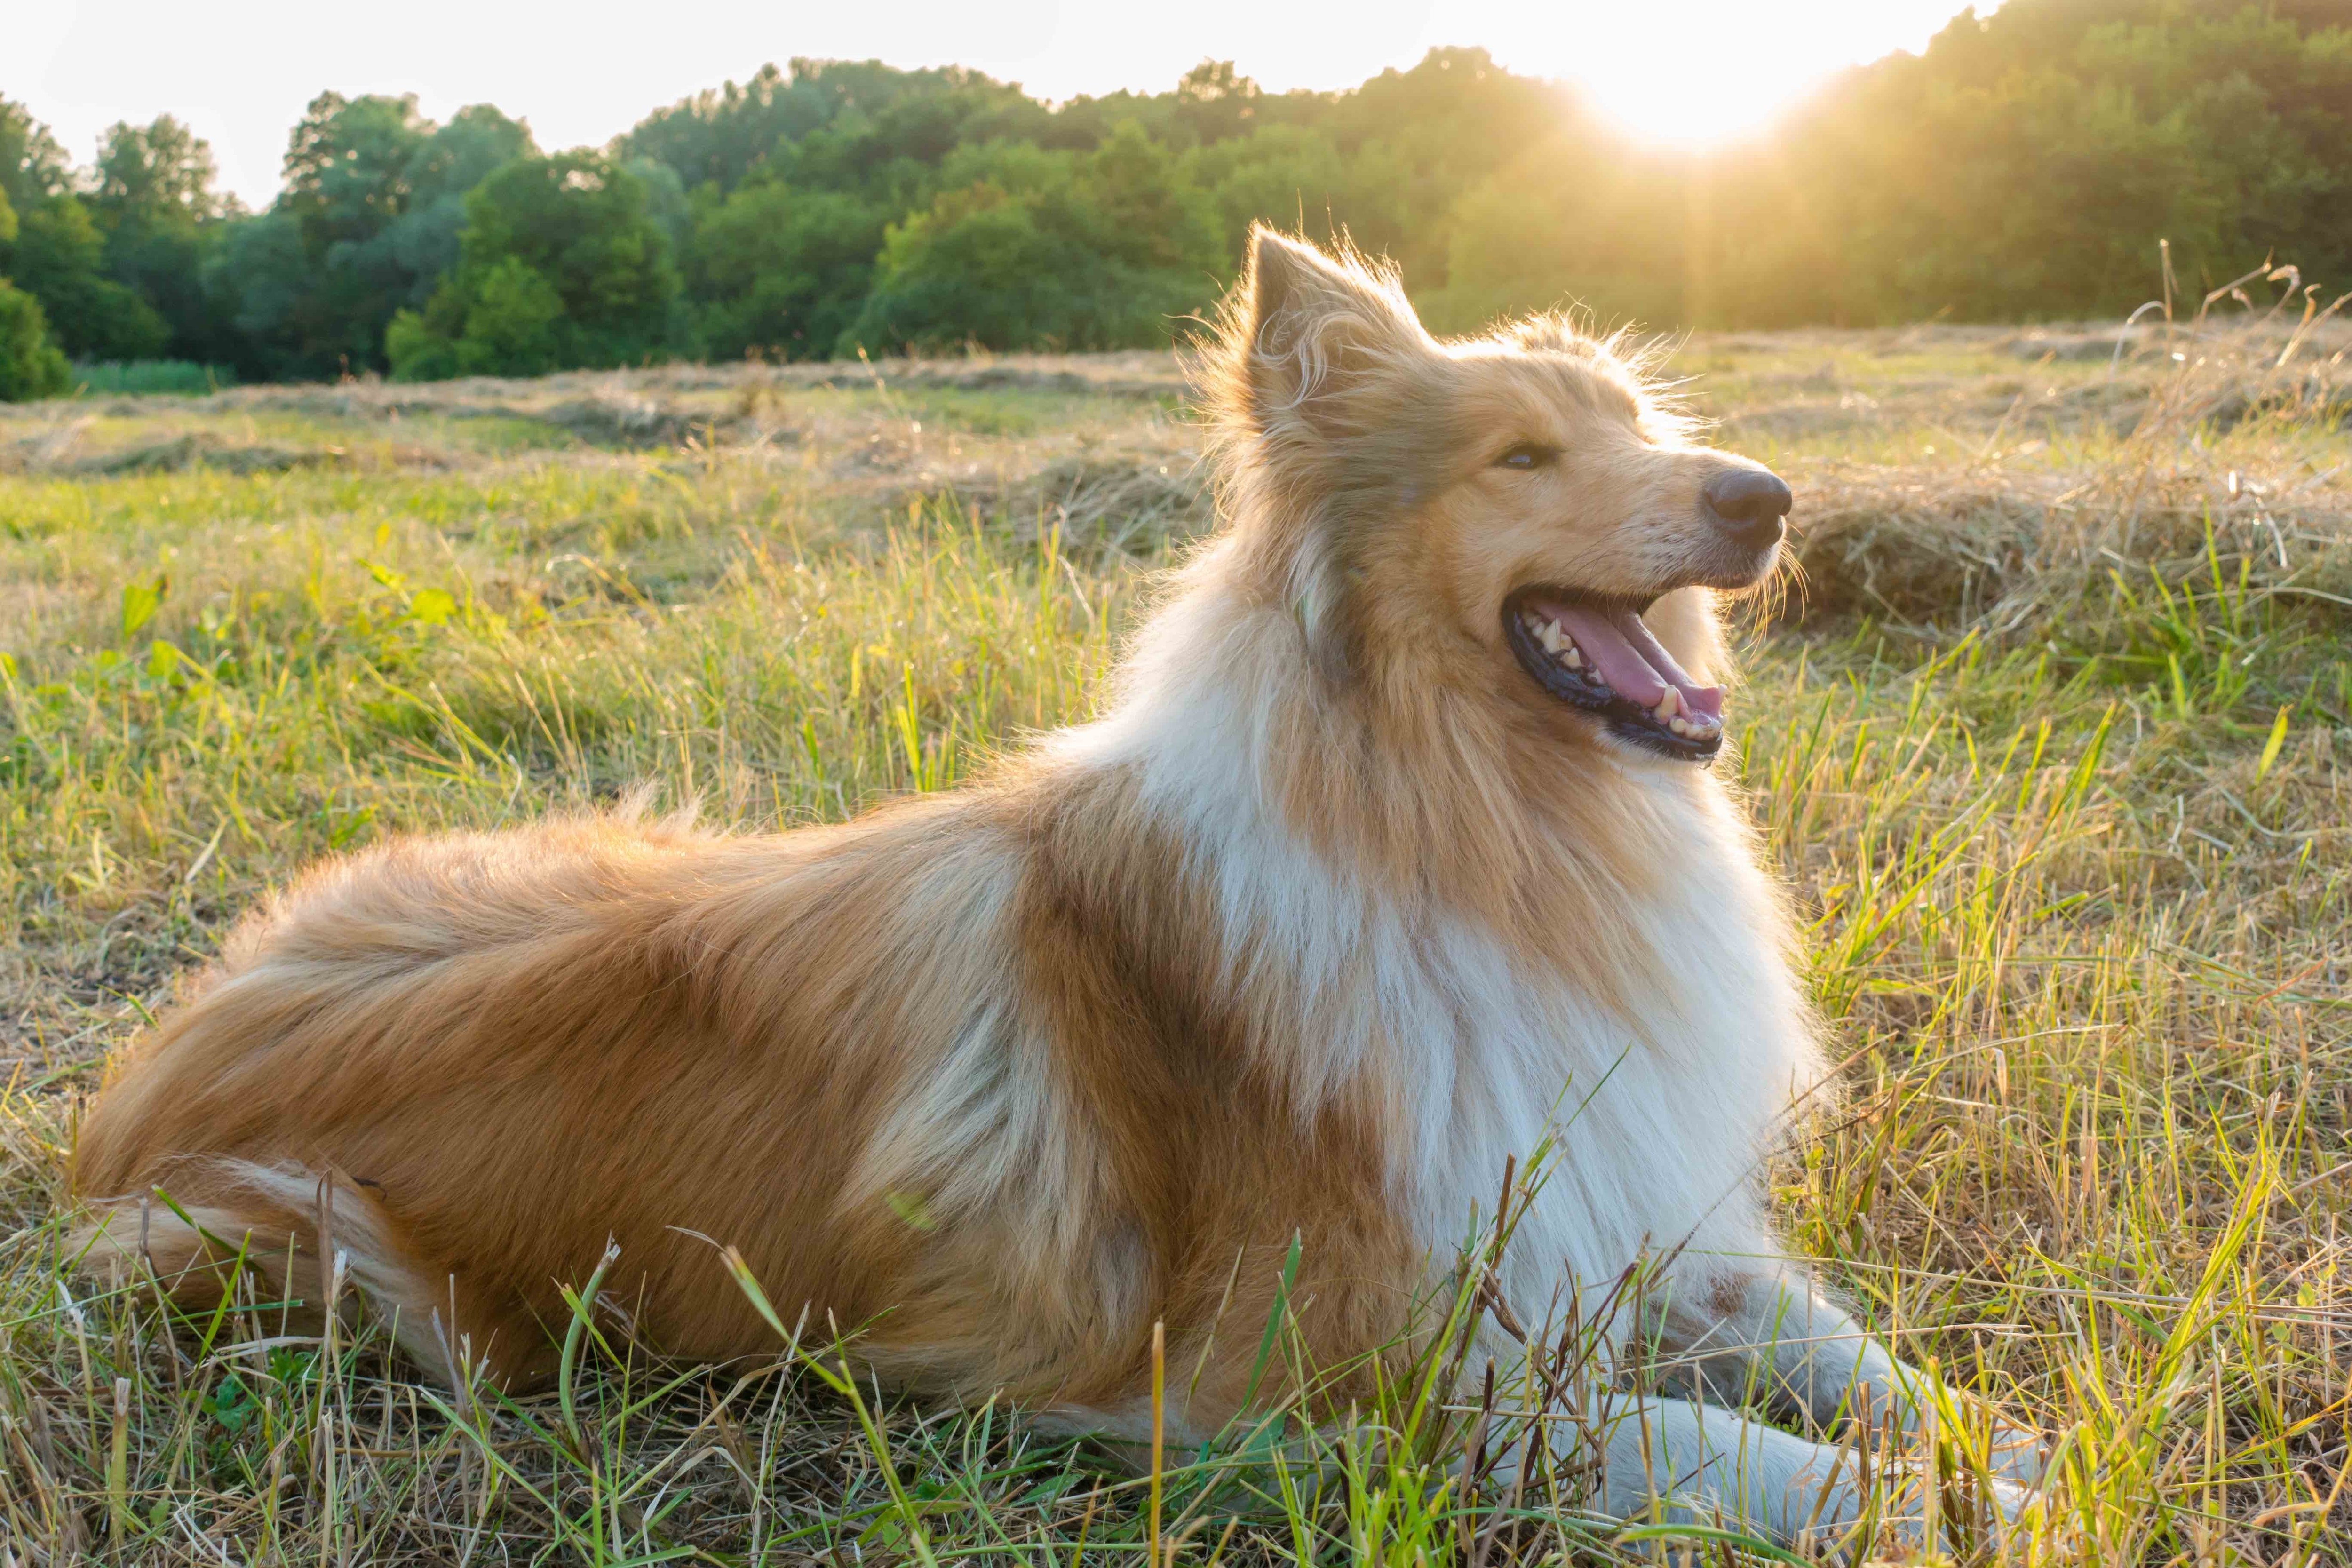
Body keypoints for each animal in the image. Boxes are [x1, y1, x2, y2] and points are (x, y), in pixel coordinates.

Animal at [73, 227, 2042, 1552]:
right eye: (1521, 457)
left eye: (1637, 423)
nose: (1764, 495)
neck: (1462, 821)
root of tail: (142, 1080)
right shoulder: (1351, 1384)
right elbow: (1734, 1452)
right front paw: (1970, 1501)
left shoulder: (1621, 1217)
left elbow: (1837, 1347)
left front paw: (2010, 1433)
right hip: (320, 1254)